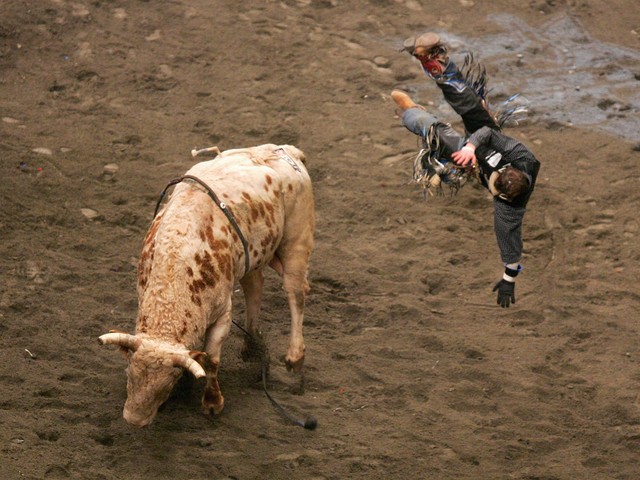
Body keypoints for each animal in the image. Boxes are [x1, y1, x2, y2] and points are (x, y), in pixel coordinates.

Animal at [98, 143, 314, 427]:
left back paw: (294, 357)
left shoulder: (223, 314)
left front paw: (213, 403)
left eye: (167, 382)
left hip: (296, 242)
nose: (134, 419)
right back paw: (252, 346)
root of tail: (285, 150)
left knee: (295, 294)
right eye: (129, 373)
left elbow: (211, 360)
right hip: (252, 256)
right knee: (254, 287)